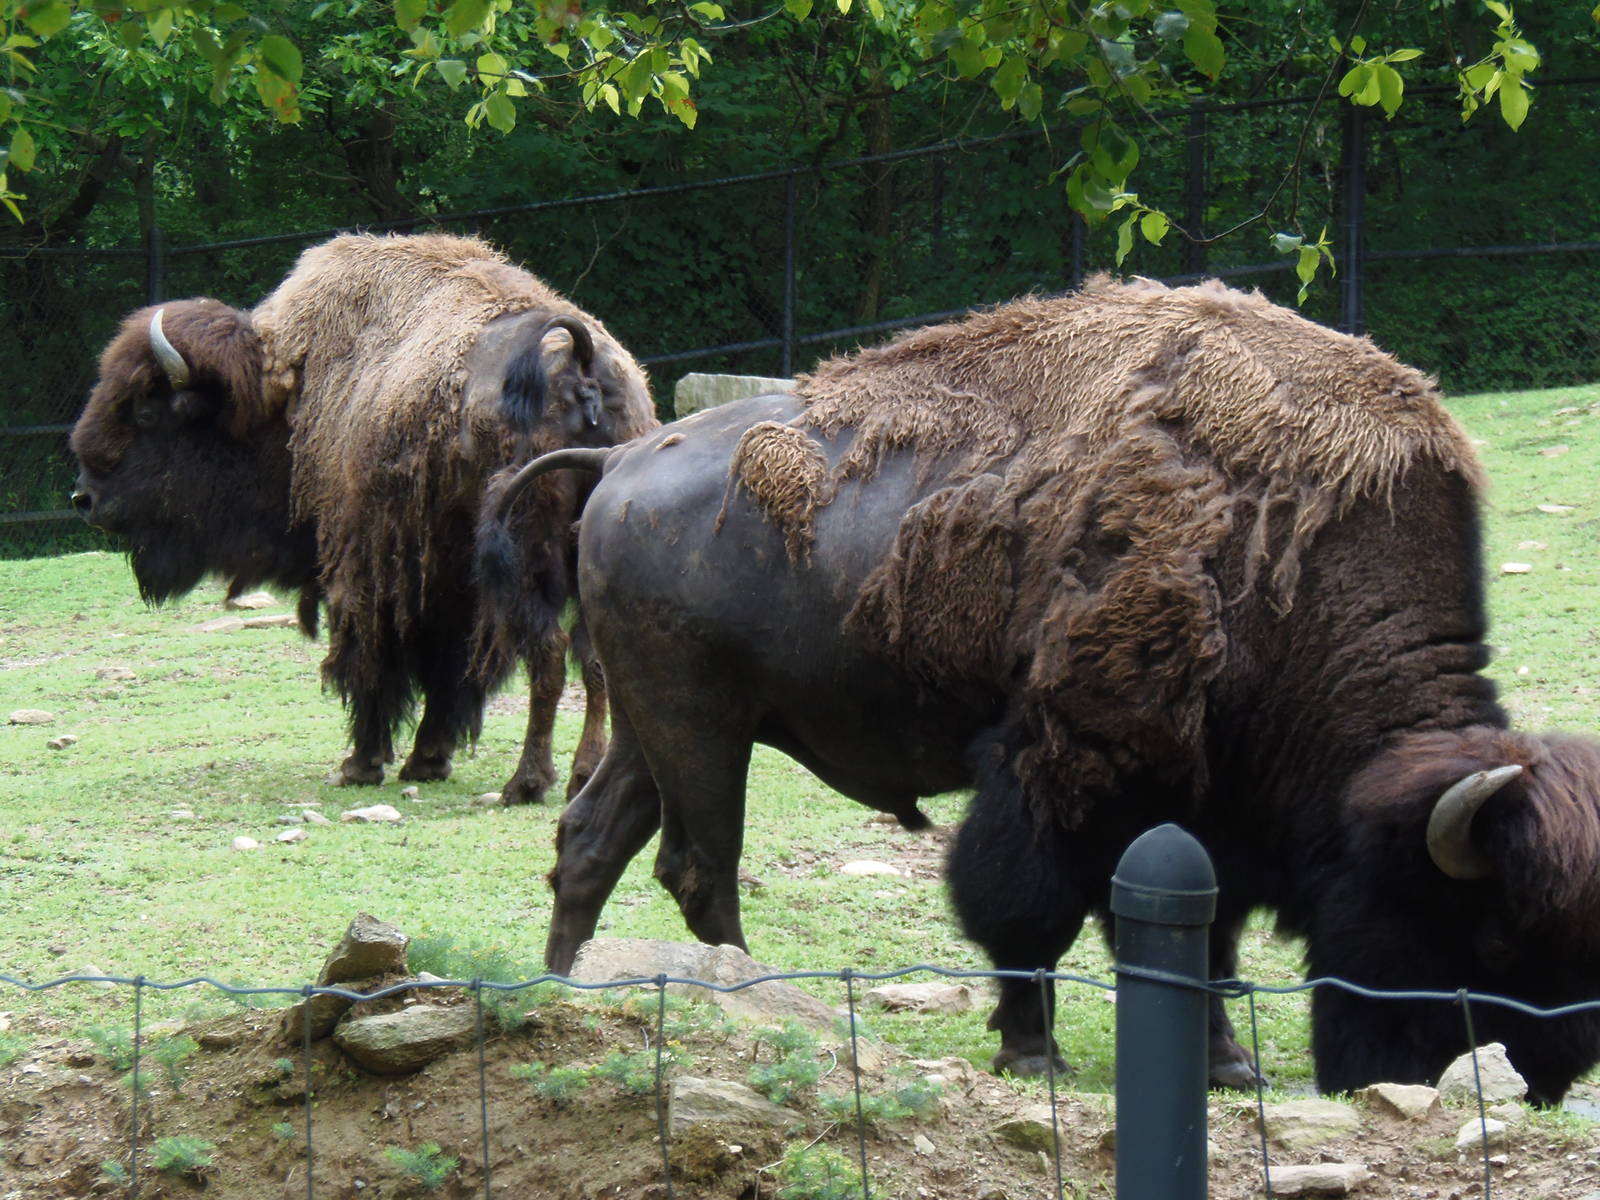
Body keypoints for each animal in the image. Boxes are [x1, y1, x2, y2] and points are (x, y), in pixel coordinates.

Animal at [71, 232, 656, 801]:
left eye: (146, 413)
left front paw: (361, 764)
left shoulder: (367, 573)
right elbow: (449, 672)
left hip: (522, 562)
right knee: (592, 659)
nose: (86, 499)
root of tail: (579, 363)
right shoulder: (445, 585)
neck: (284, 398)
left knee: (551, 653)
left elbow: (374, 662)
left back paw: (527, 782)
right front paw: (427, 760)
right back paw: (582, 774)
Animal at [482, 275, 1600, 1104]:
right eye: (1485, 930)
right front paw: (1033, 1052)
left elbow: (1202, 937)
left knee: (592, 841)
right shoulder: (1060, 770)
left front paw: (1227, 1067)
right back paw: (749, 998)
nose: (1541, 1079)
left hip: (657, 725)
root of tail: (624, 457)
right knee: (698, 866)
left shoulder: (1202, 805)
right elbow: (1026, 911)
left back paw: (567, 989)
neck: (1286, 554)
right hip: (703, 727)